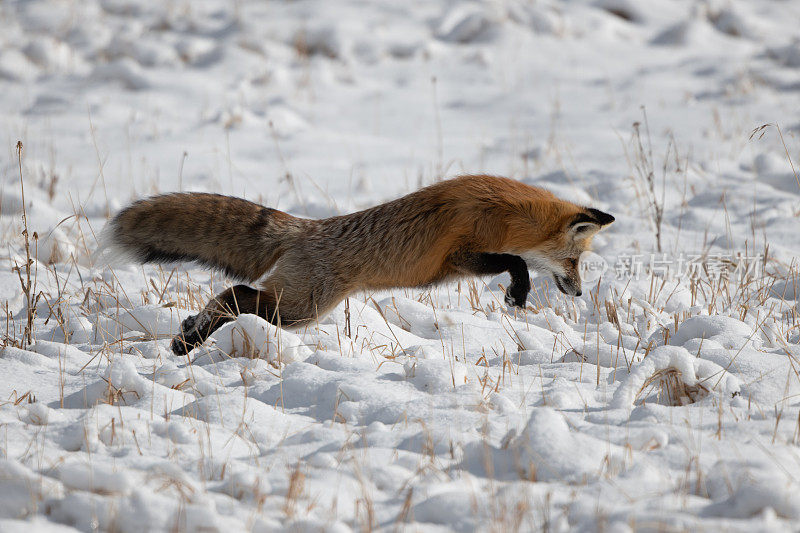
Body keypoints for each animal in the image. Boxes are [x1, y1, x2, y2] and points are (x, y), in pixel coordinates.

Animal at [100, 175, 612, 356]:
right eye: (574, 260)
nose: (578, 292)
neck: (503, 209)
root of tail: (305, 229)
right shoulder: (461, 253)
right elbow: (516, 262)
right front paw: (518, 293)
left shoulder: (457, 264)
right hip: (301, 308)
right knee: (235, 296)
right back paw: (188, 340)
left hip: (297, 306)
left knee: (233, 298)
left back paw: (187, 333)